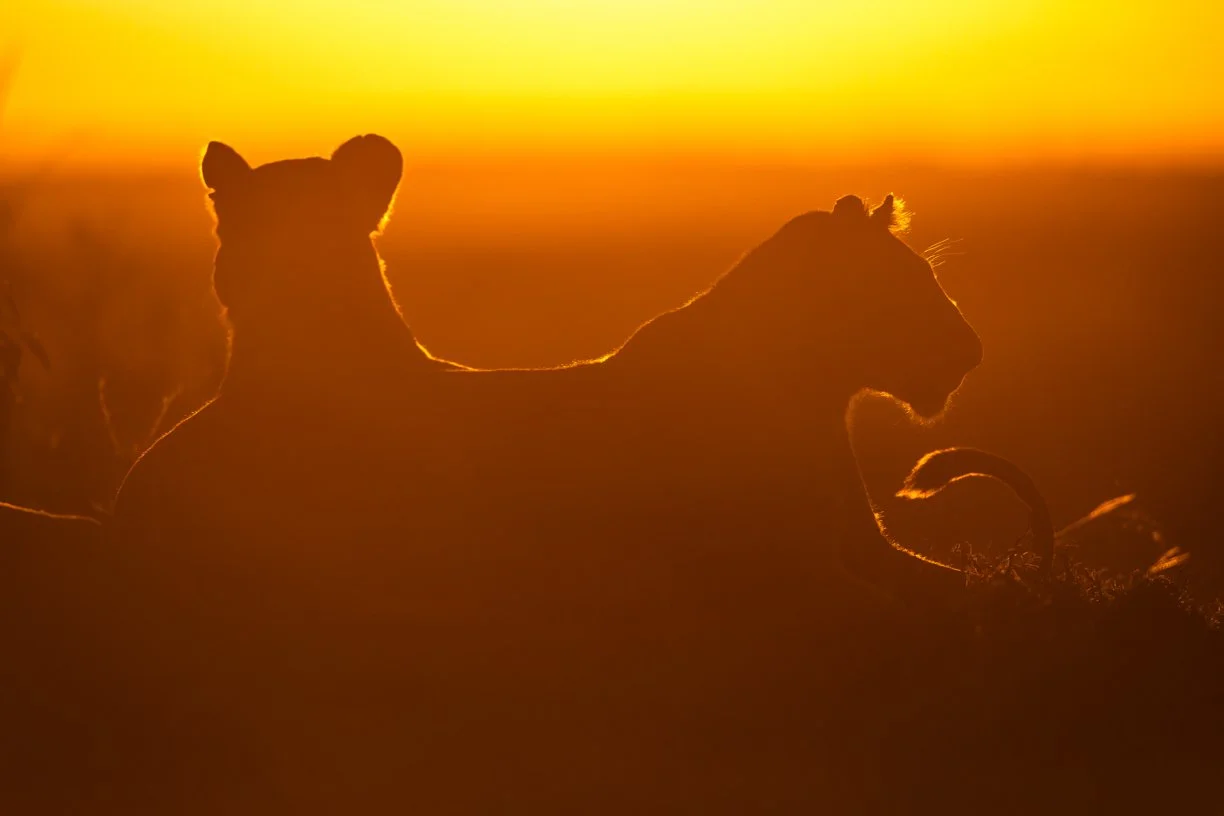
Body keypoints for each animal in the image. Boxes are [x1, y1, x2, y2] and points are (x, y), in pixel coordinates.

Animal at [91, 136, 985, 813]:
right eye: (912, 280)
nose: (972, 350)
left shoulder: (861, 550)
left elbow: (968, 588)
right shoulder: (780, 580)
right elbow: (919, 619)